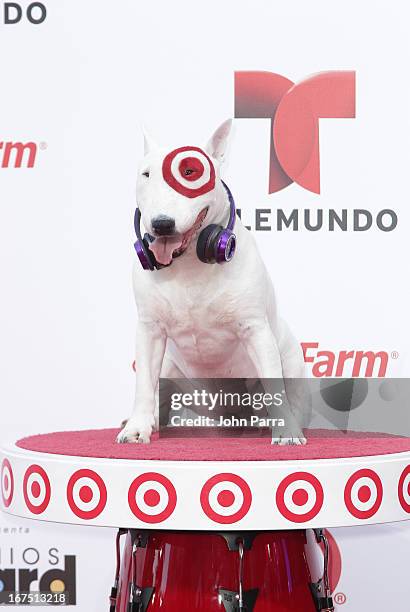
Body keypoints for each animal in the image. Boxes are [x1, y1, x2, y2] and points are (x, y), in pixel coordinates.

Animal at [117, 119, 308, 444]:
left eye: (190, 172)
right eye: (146, 174)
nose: (161, 224)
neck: (190, 262)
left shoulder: (255, 329)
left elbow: (275, 388)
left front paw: (287, 432)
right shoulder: (150, 330)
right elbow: (143, 384)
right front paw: (136, 428)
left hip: (290, 360)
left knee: (285, 394)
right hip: (171, 370)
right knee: (160, 394)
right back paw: (151, 422)